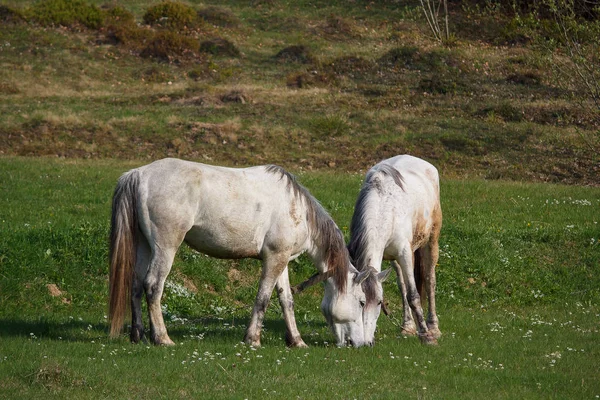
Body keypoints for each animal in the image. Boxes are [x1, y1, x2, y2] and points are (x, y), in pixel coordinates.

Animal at [109, 159, 370, 346]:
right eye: (362, 301)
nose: (362, 344)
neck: (298, 210)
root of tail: (139, 174)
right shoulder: (274, 259)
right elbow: (263, 298)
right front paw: (253, 339)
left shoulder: (282, 261)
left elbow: (286, 300)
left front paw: (297, 341)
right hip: (166, 247)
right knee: (153, 286)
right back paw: (162, 338)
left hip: (145, 246)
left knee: (136, 285)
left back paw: (138, 336)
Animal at [346, 155, 440, 346]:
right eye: (358, 302)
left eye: (379, 302)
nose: (365, 342)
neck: (384, 206)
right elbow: (404, 291)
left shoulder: (405, 254)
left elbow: (413, 296)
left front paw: (426, 336)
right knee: (402, 285)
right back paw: (408, 326)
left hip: (431, 241)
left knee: (429, 279)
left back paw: (433, 327)